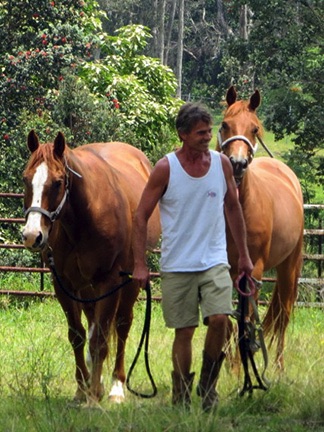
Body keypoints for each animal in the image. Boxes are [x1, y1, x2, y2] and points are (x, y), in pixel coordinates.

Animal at [21, 131, 161, 404]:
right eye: (25, 178)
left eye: (57, 182)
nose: (32, 235)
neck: (83, 219)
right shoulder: (63, 284)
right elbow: (77, 335)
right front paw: (82, 389)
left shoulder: (110, 281)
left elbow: (100, 339)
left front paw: (95, 396)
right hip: (87, 290)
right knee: (95, 324)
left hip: (129, 283)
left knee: (122, 326)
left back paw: (116, 386)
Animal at [218, 87, 304, 368]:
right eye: (225, 124)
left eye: (254, 128)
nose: (237, 163)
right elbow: (227, 321)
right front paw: (227, 365)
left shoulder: (252, 271)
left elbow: (245, 321)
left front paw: (240, 367)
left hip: (289, 267)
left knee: (284, 315)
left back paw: (278, 366)